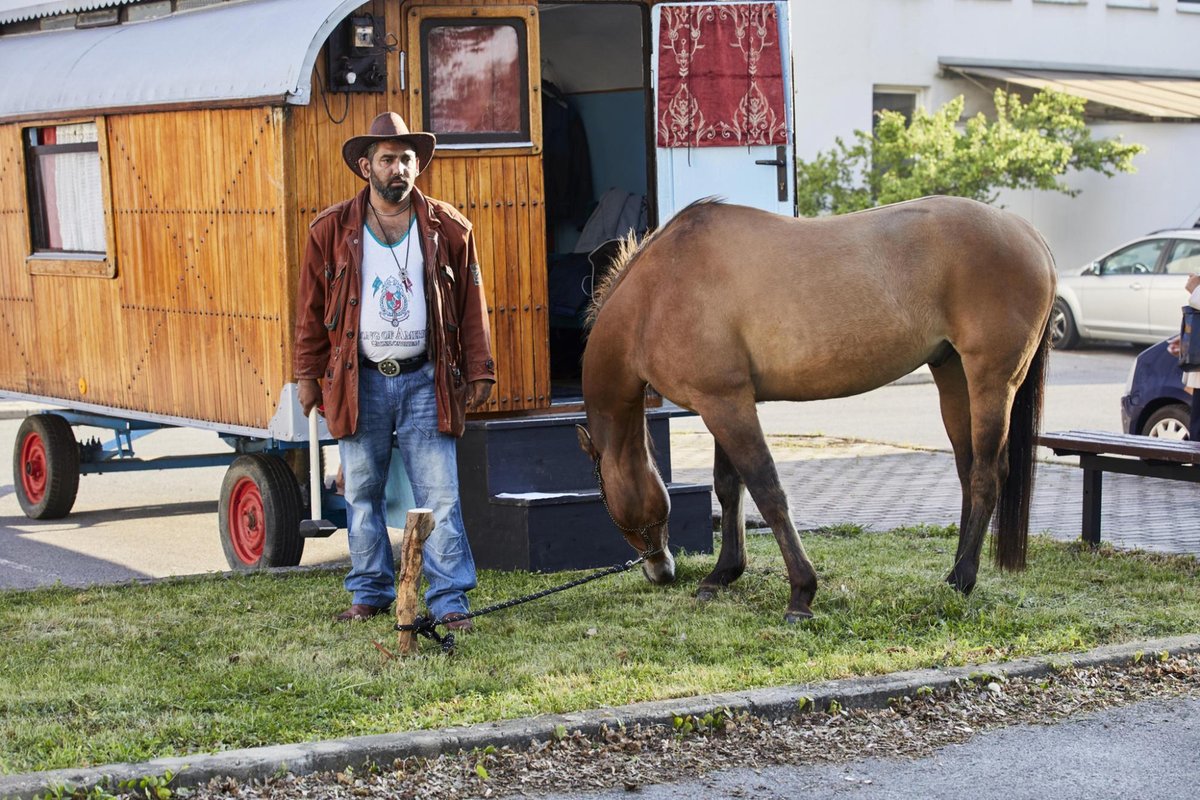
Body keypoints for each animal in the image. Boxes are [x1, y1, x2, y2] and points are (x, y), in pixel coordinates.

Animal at [576, 196, 1056, 623]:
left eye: (602, 496)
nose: (661, 570)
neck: (657, 293)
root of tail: (1031, 236)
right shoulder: (720, 403)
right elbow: (730, 487)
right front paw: (722, 574)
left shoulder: (726, 404)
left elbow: (767, 490)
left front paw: (801, 594)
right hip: (952, 374)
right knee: (967, 471)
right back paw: (954, 575)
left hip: (992, 380)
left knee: (987, 475)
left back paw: (962, 578)